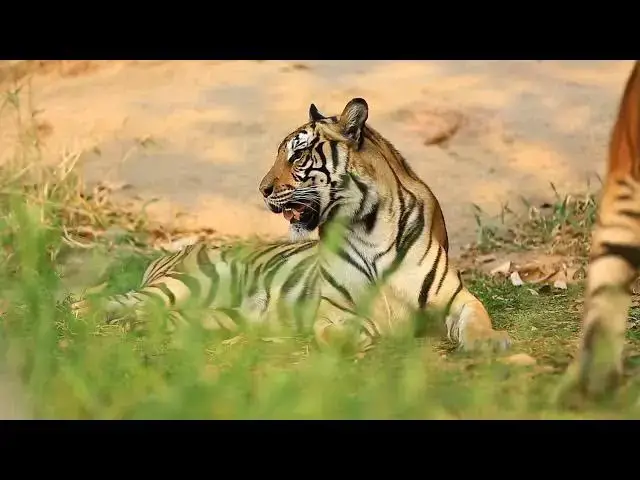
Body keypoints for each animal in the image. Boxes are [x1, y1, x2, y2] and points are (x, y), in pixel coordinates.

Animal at [71, 97, 511, 355]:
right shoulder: (330, 312)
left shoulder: (456, 299)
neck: (366, 225)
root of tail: (175, 250)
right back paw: (78, 311)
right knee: (109, 299)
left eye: (297, 155)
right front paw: (367, 337)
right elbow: (345, 330)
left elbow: (477, 321)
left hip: (205, 312)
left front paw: (493, 343)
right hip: (185, 284)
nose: (262, 189)